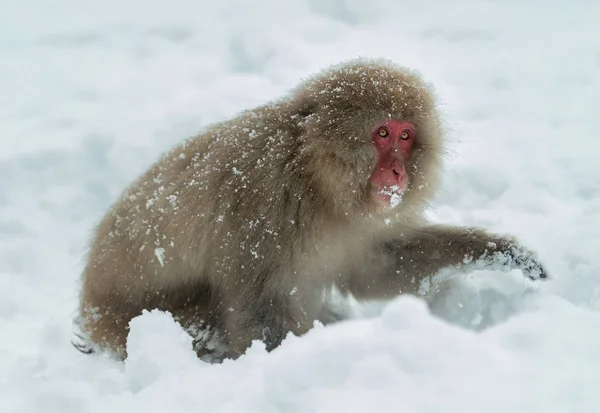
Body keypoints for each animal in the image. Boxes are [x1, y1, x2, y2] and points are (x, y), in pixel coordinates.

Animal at [74, 58, 548, 360]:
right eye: (382, 133)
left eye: (406, 135)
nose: (397, 171)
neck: (318, 181)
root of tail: (90, 306)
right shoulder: (267, 202)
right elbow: (260, 307)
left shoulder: (358, 223)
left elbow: (376, 268)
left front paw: (498, 252)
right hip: (129, 322)